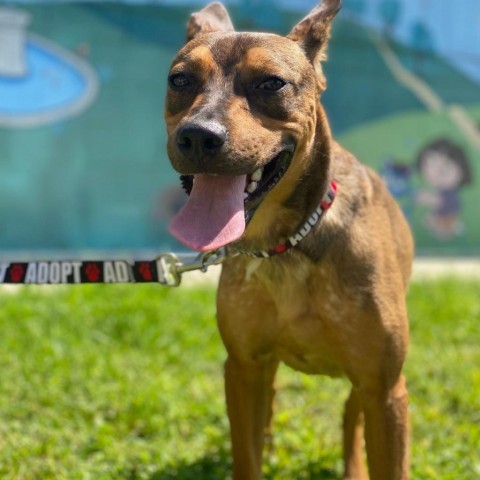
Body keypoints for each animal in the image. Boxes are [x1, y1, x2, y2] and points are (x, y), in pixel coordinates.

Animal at [165, 1, 412, 478]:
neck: (285, 244)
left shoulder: (384, 387)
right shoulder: (243, 367)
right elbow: (247, 456)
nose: (199, 135)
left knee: (350, 417)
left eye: (271, 83)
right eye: (180, 80)